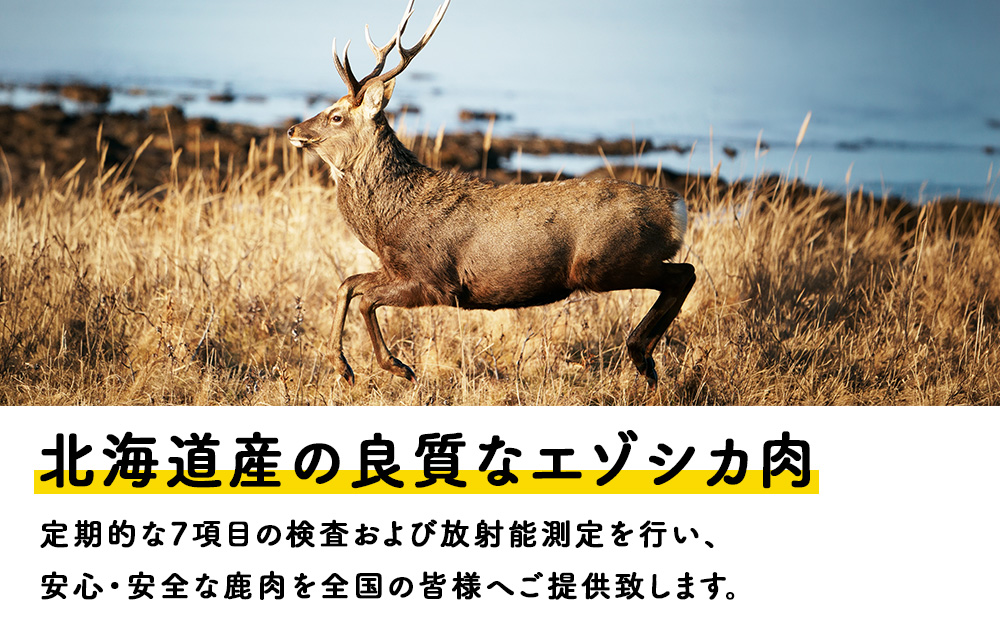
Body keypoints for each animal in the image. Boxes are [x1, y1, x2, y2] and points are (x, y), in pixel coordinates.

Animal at [287, 0, 695, 388]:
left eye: (336, 116)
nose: (293, 129)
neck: (388, 223)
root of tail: (676, 208)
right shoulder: (395, 269)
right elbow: (348, 285)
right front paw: (343, 369)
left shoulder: (434, 280)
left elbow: (366, 299)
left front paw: (398, 367)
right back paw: (645, 360)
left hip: (608, 261)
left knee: (683, 273)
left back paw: (641, 356)